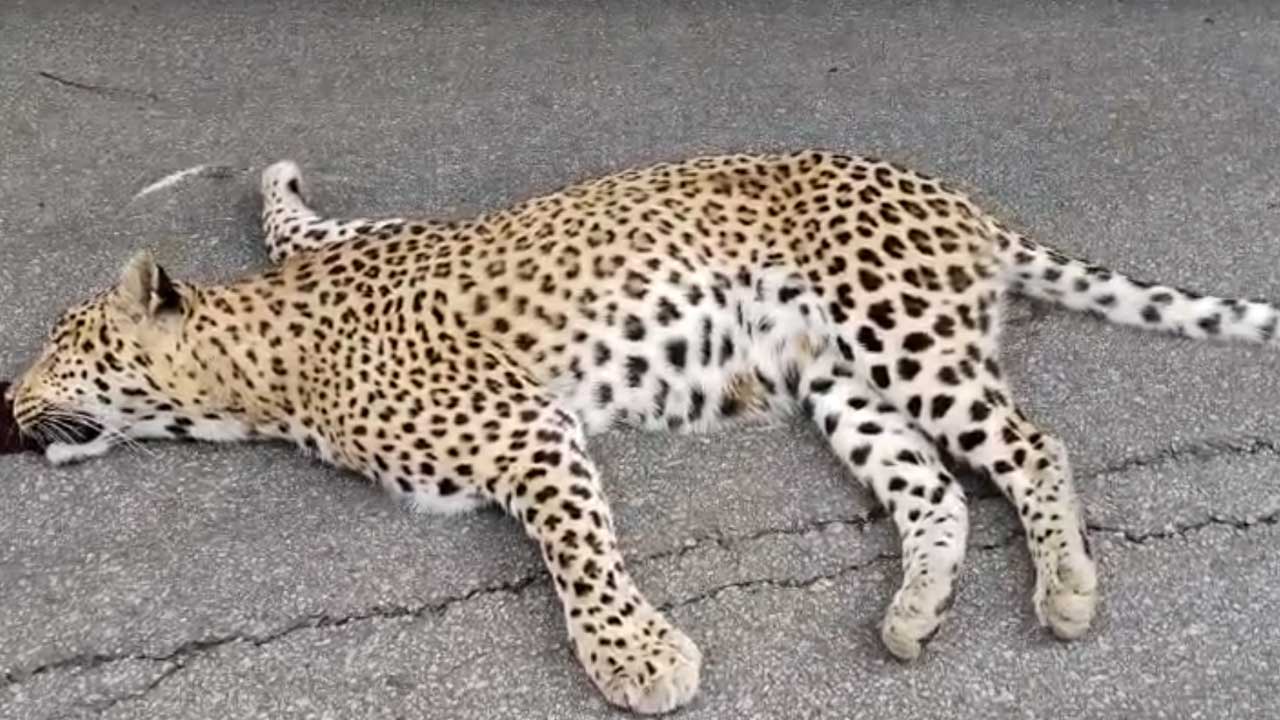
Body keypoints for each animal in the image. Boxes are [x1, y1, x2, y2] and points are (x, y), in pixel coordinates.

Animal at [9, 151, 1279, 714]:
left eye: (64, 344)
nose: (2, 408)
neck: (261, 371)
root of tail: (954, 197)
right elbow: (295, 215)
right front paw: (276, 177)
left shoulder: (527, 430)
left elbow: (577, 552)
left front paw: (634, 657)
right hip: (842, 382)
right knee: (932, 490)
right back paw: (913, 610)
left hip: (899, 331)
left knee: (1029, 446)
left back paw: (1063, 586)